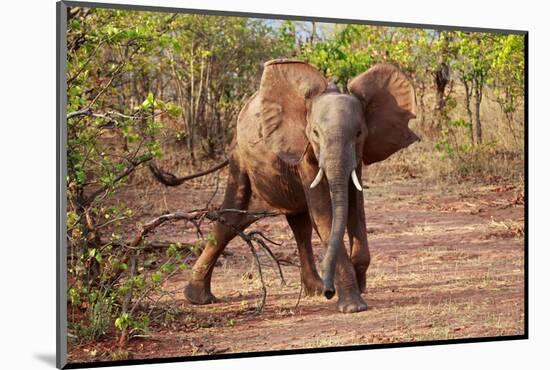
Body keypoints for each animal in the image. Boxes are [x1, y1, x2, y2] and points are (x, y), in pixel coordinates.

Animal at [151, 60, 418, 312]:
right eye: (315, 133)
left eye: (359, 133)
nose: (331, 292)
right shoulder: (303, 151)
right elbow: (324, 213)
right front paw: (353, 306)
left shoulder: (357, 157)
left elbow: (354, 206)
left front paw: (358, 285)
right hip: (240, 159)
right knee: (229, 221)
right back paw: (198, 298)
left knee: (299, 225)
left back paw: (315, 289)